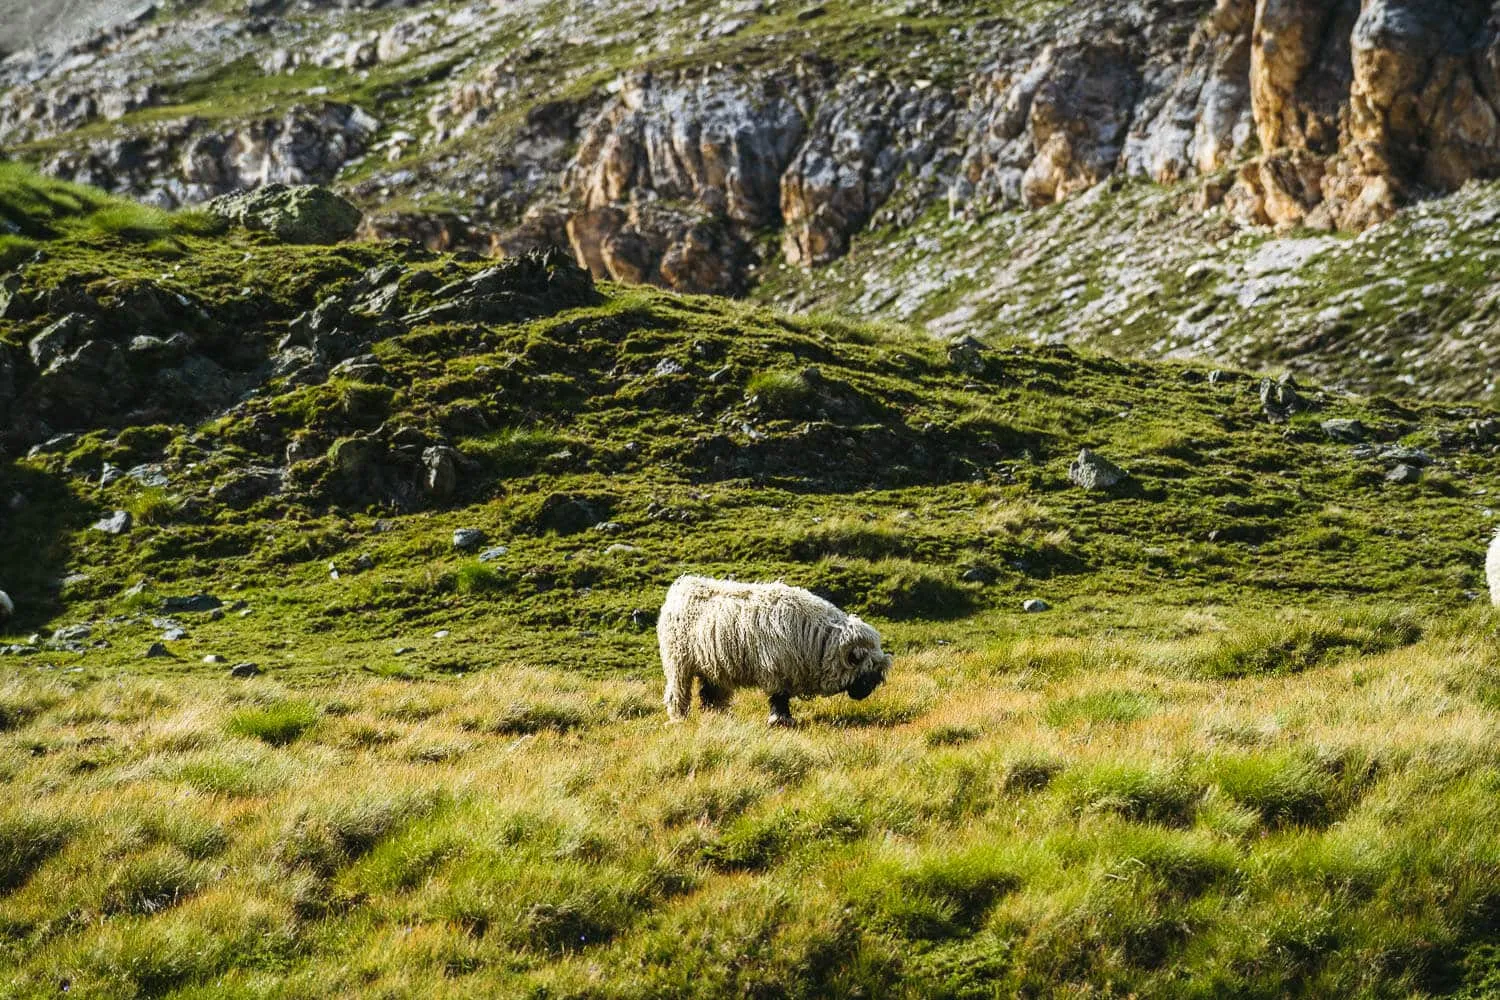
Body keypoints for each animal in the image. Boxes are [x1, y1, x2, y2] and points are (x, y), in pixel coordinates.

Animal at [658, 574, 892, 726]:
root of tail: (681, 586)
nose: (864, 694)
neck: (818, 639)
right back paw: (678, 718)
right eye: (865, 670)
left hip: (712, 664)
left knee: (711, 692)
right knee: (678, 691)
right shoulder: (776, 669)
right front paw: (781, 720)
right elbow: (779, 697)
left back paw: (717, 716)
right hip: (678, 662)